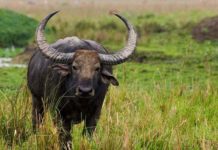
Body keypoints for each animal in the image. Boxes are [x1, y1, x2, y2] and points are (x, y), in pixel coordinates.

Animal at [26, 10, 136, 150]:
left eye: (97, 68)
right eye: (74, 67)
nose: (85, 91)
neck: (79, 101)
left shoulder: (95, 113)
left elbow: (87, 135)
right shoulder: (59, 114)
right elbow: (65, 138)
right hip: (36, 100)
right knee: (36, 122)